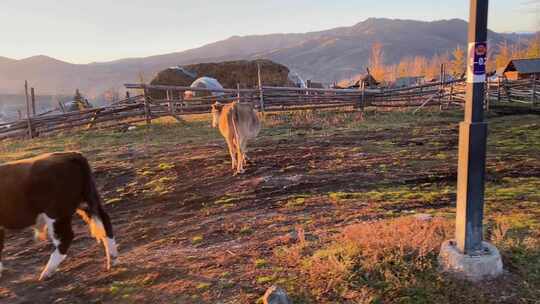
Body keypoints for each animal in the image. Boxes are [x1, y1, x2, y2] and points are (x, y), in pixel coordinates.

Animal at [0, 152, 117, 280]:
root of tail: (70, 155)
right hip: (86, 201)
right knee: (104, 220)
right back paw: (113, 259)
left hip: (56, 213)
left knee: (66, 237)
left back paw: (47, 272)